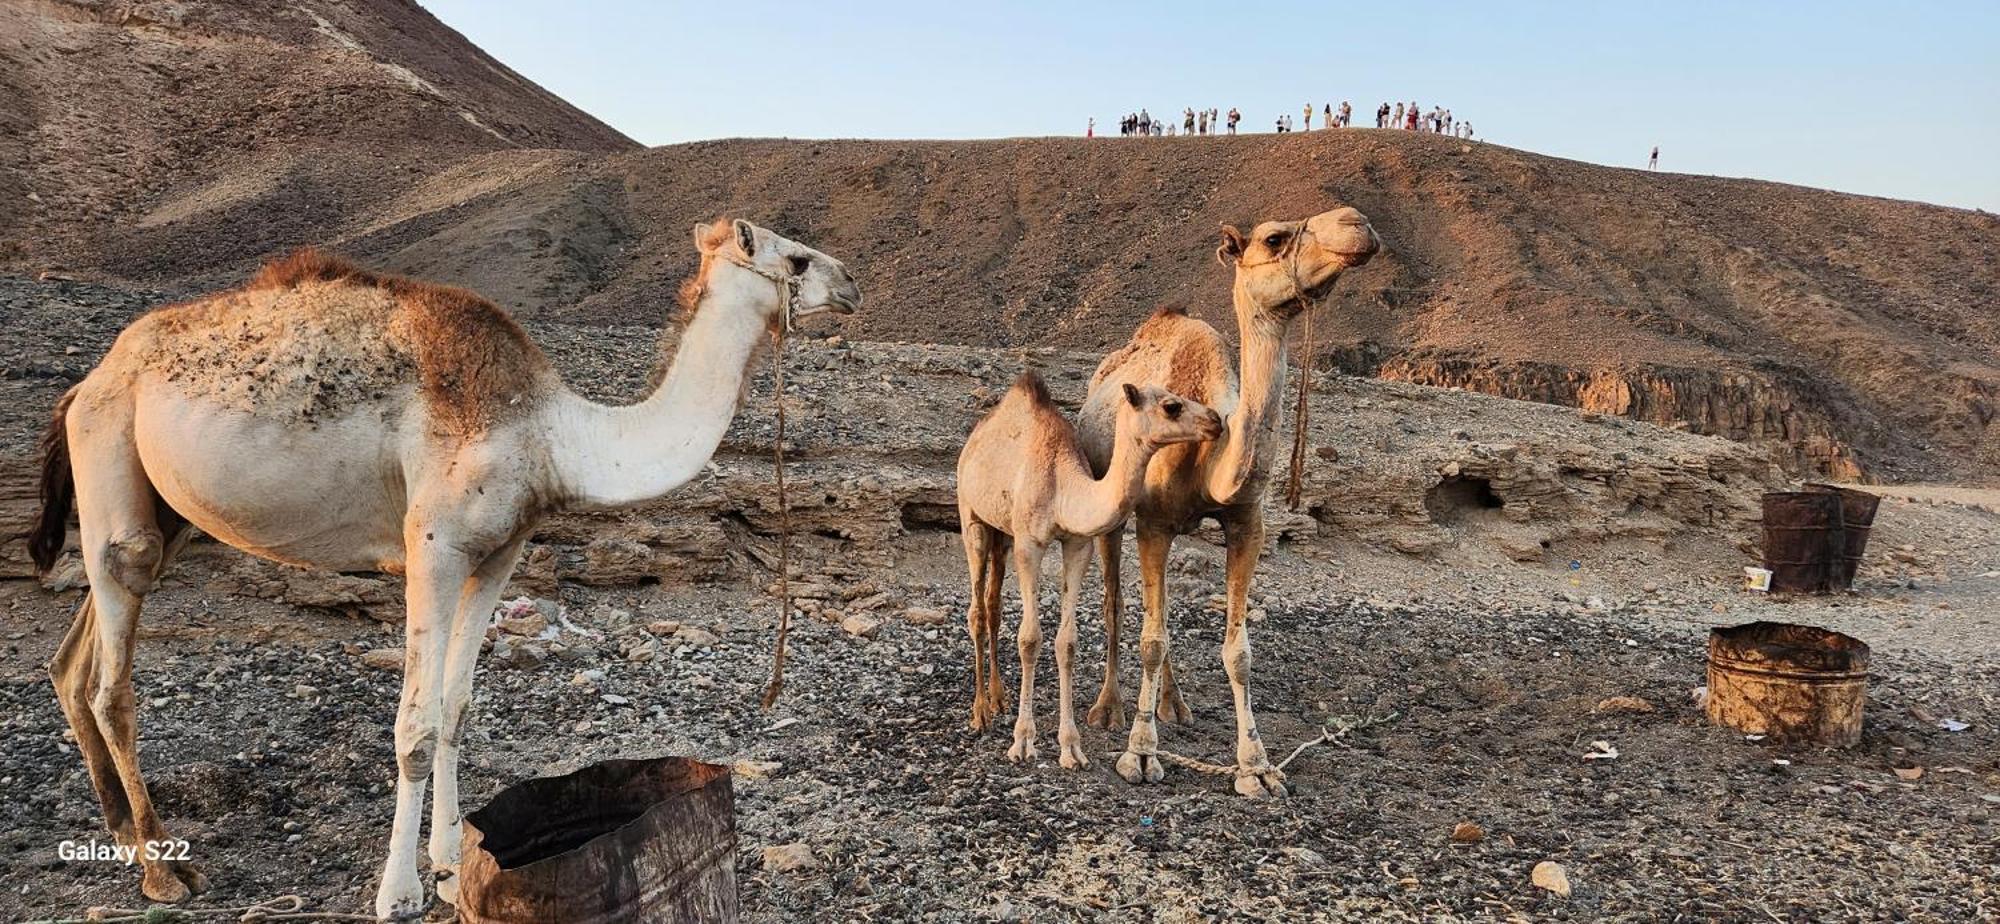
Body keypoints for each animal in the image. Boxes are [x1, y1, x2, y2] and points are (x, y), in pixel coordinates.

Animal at [29, 220, 860, 920]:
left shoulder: (498, 552)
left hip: (166, 510)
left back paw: (122, 834)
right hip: (110, 451)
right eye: (795, 259)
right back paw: (162, 871)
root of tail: (86, 381)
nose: (852, 286)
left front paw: (453, 862)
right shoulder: (430, 545)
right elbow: (416, 727)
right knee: (112, 674)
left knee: (75, 657)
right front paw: (397, 893)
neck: (557, 435)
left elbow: (458, 707)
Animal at [952, 372, 1216, 768]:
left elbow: (1067, 642)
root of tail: (975, 437)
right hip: (972, 516)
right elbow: (1030, 639)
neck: (1063, 489)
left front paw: (1071, 748)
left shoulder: (1078, 545)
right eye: (1171, 406)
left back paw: (999, 699)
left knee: (994, 604)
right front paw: (1023, 741)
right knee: (977, 612)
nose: (1216, 420)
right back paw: (980, 712)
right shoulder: (1029, 544)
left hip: (1003, 531)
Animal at [1080, 206, 1376, 796]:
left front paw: (1256, 767)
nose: (1356, 223)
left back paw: (1174, 706)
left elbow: (1237, 651)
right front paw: (1140, 754)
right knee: (1117, 603)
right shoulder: (1152, 523)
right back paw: (1110, 710)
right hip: (1111, 507)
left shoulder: (1247, 522)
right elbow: (1151, 639)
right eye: (1274, 238)